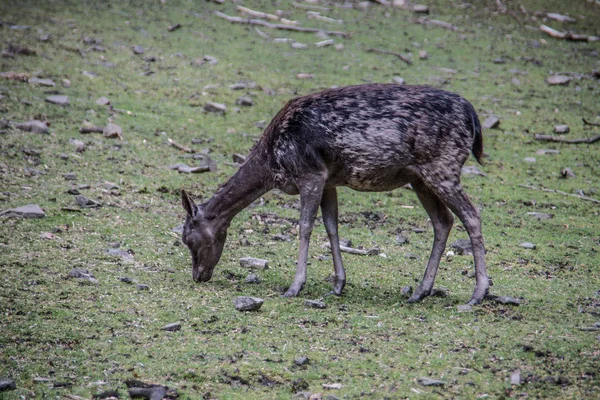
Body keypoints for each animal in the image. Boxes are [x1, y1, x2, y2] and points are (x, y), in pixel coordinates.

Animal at [180, 83, 490, 304]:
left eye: (188, 238)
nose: (198, 276)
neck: (273, 163)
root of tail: (473, 117)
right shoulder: (329, 180)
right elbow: (332, 226)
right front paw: (338, 284)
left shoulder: (310, 173)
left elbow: (305, 226)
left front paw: (295, 286)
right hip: (420, 178)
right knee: (443, 221)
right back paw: (420, 291)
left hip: (443, 167)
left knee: (472, 216)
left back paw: (478, 294)